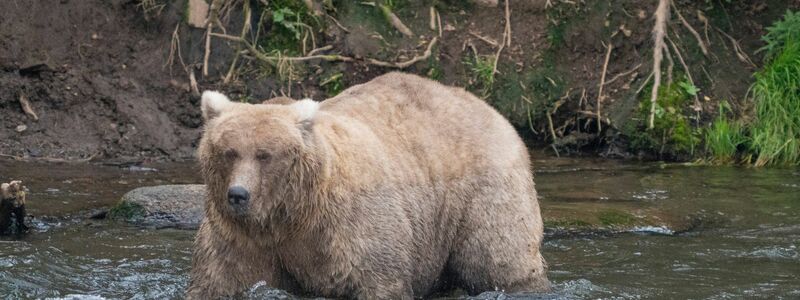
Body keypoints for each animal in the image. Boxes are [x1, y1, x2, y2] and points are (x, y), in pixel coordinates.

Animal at [188, 72, 552, 298]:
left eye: (265, 154)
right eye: (229, 152)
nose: (238, 195)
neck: (290, 215)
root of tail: (489, 108)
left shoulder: (348, 226)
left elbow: (376, 275)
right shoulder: (240, 237)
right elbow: (221, 279)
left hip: (482, 193)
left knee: (498, 259)